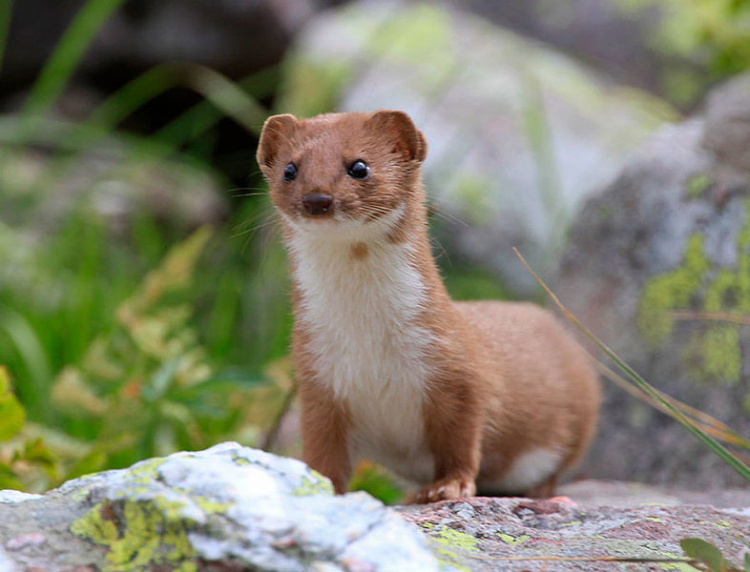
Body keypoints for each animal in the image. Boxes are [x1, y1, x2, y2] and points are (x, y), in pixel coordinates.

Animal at [256, 109, 604, 502]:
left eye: (359, 166)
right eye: (290, 169)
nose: (317, 199)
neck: (368, 342)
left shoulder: (458, 369)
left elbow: (460, 441)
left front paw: (448, 486)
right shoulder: (318, 381)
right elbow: (322, 452)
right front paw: (318, 487)